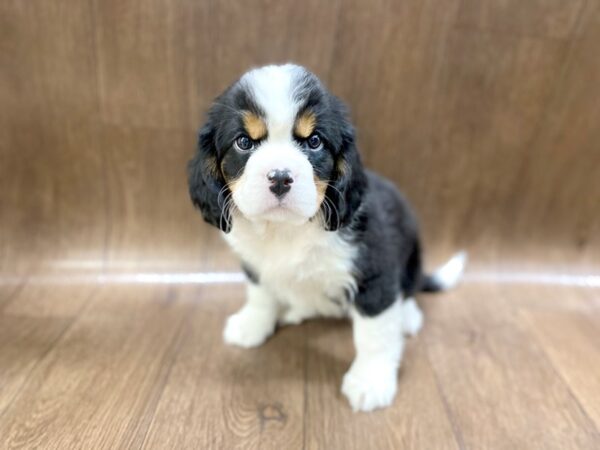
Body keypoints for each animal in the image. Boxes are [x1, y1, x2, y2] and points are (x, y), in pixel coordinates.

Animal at [186, 63, 464, 412]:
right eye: (244, 142)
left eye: (314, 141)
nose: (280, 177)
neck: (287, 229)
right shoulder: (255, 264)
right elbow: (260, 295)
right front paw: (252, 324)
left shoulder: (374, 273)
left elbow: (374, 335)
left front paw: (370, 380)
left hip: (412, 253)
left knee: (410, 287)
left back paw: (407, 316)